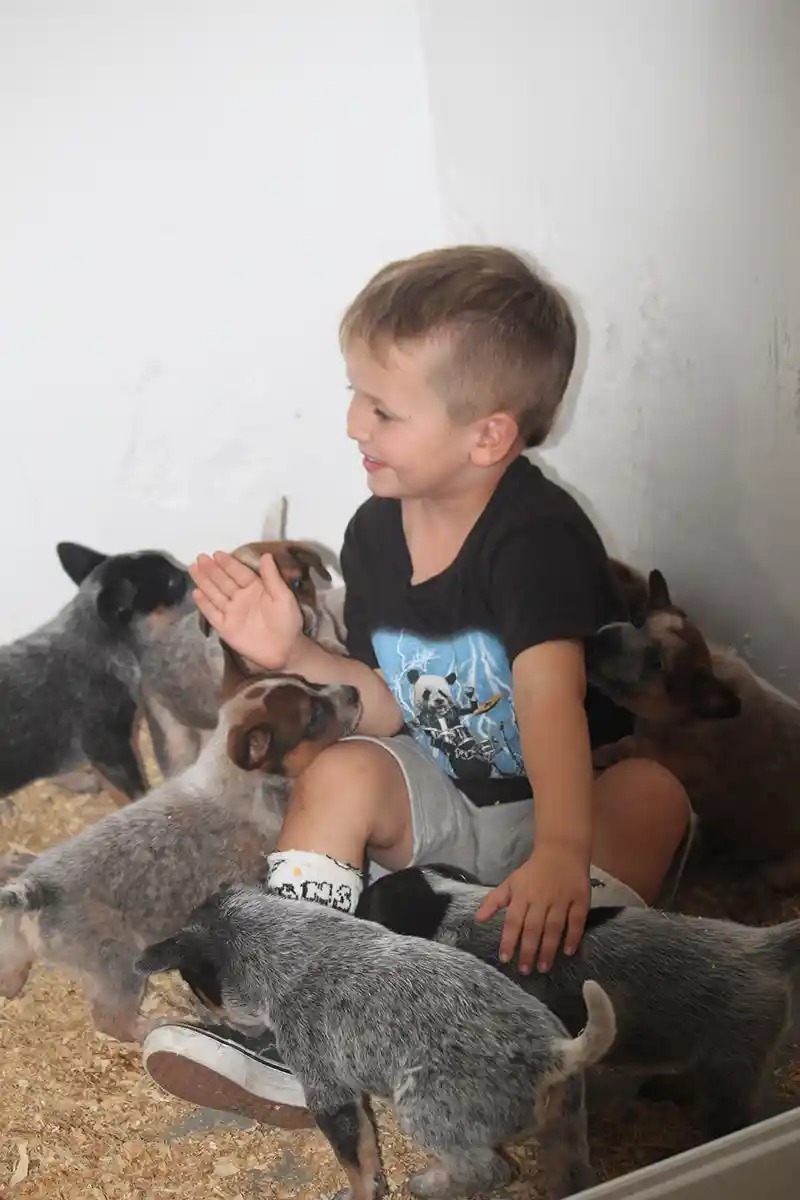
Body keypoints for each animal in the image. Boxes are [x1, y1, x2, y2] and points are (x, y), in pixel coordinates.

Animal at [0, 648, 359, 1041]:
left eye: (308, 680)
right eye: (314, 717)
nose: (354, 690)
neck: (238, 780)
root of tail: (39, 890)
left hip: (18, 938)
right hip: (119, 965)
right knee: (111, 1019)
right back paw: (154, 1026)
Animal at [137, 888, 618, 1195]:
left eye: (200, 990)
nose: (214, 1018)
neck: (284, 948)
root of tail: (554, 1053)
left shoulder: (328, 1088)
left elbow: (356, 1160)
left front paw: (361, 1191)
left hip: (426, 1108)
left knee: (487, 1170)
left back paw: (429, 1184)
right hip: (568, 1121)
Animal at [585, 566, 800, 888]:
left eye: (657, 663)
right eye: (637, 620)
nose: (595, 641)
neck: (685, 716)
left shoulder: (642, 750)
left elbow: (618, 747)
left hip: (776, 871)